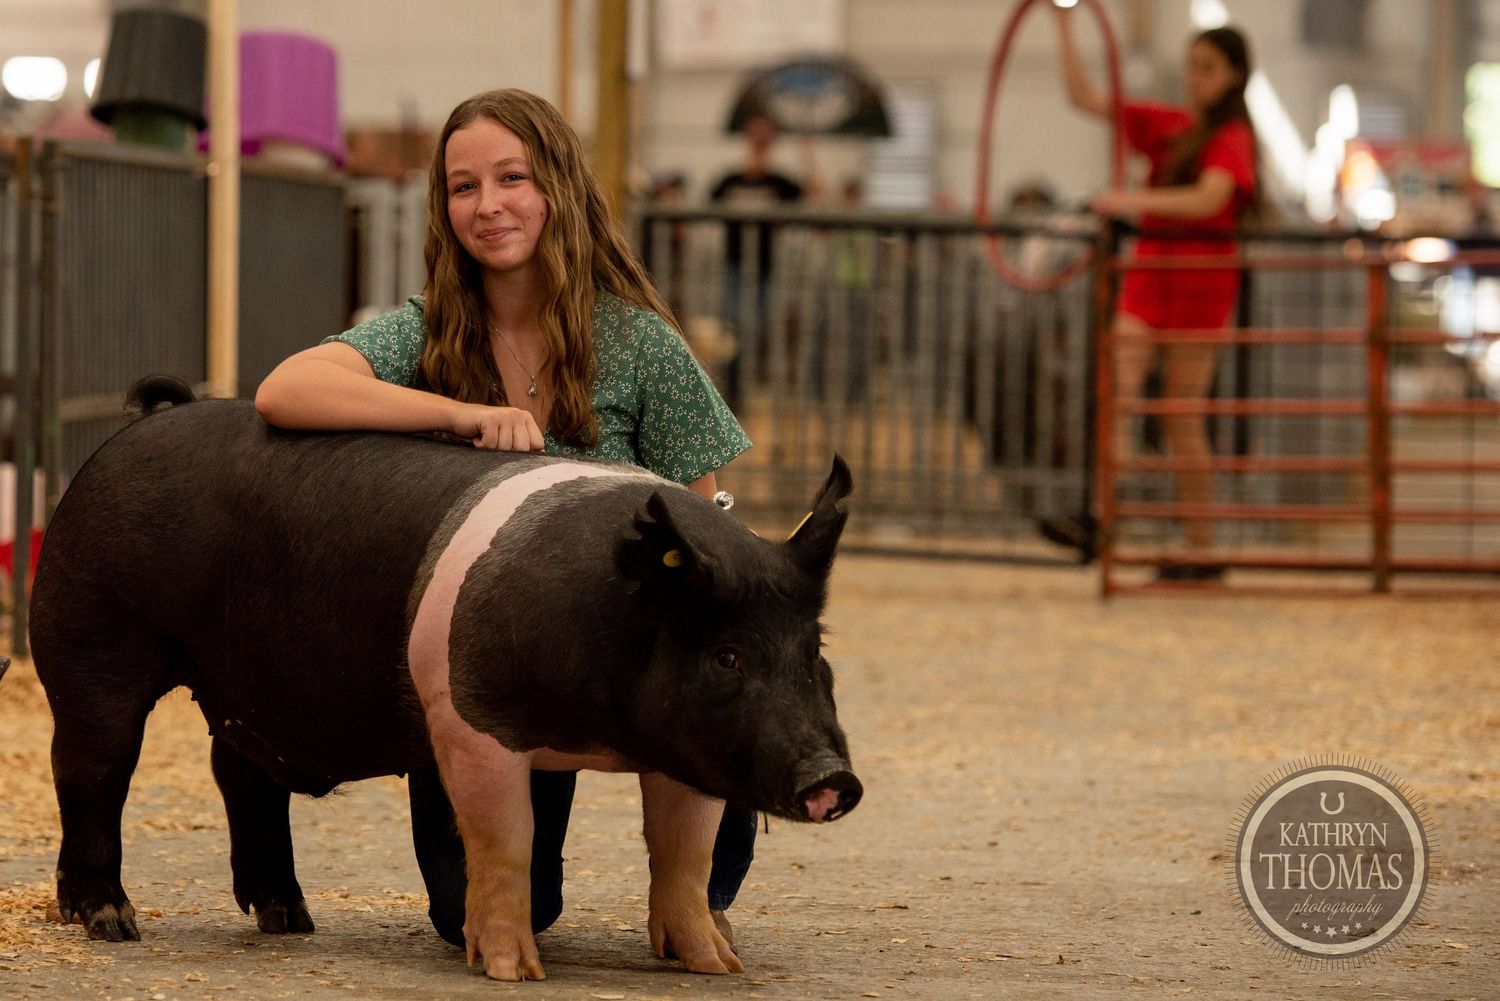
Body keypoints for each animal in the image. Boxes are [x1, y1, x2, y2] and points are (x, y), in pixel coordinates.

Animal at [30, 377, 861, 981]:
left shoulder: (685, 750)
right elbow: (506, 838)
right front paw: (512, 970)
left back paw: (289, 917)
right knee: (91, 767)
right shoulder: (472, 712)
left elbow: (684, 849)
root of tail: (138, 425)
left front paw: (717, 963)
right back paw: (111, 922)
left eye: (815, 648)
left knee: (241, 775)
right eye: (728, 655)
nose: (835, 779)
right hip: (94, 637)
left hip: (239, 683)